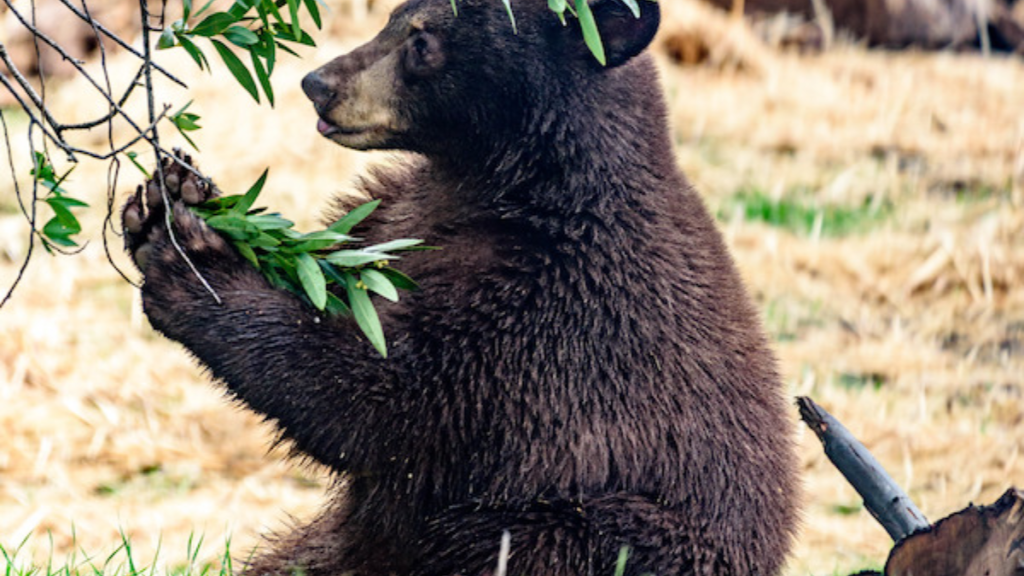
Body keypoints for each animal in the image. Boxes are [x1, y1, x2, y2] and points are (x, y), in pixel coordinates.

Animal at [121, 0, 798, 569]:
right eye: (393, 17)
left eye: (424, 41)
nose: (319, 84)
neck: (511, 186)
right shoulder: (396, 213)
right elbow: (334, 270)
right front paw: (178, 198)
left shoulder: (547, 307)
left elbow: (390, 399)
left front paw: (190, 263)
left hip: (605, 528)